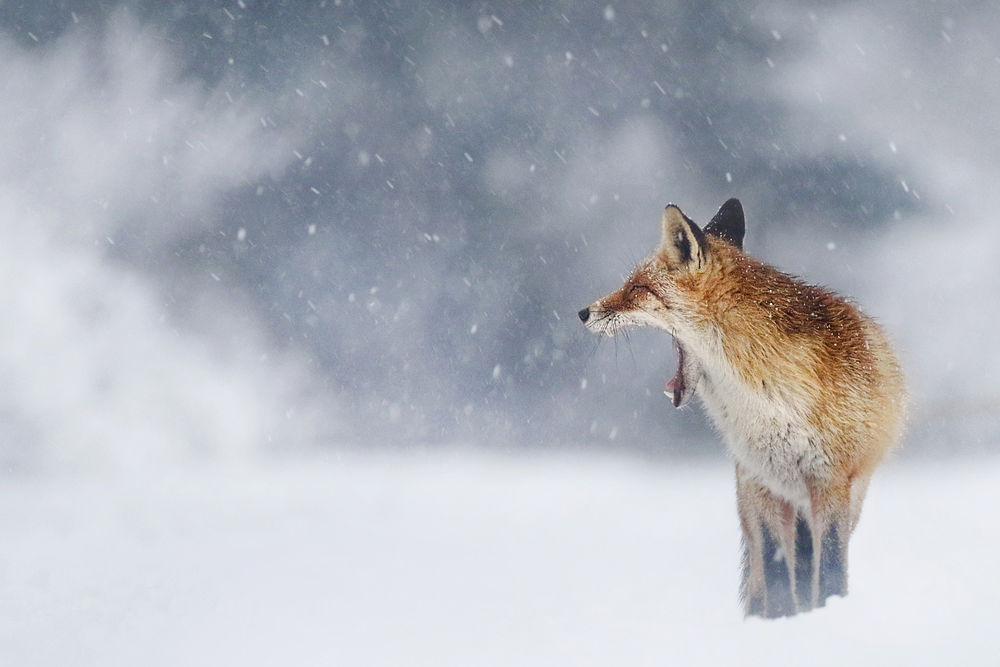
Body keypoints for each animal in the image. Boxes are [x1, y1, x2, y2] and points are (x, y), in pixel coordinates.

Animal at [578, 198, 906, 618]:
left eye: (637, 287)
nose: (584, 313)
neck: (768, 402)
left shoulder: (830, 482)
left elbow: (831, 571)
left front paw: (826, 610)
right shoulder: (760, 480)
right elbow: (776, 572)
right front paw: (779, 621)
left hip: (847, 499)